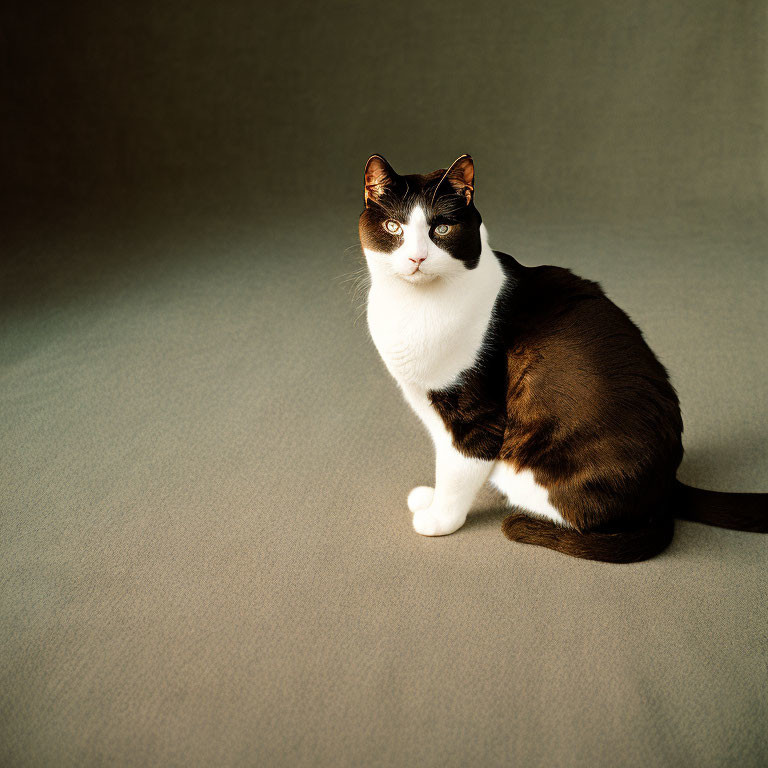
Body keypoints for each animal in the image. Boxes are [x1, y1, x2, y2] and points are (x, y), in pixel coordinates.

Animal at [356, 154, 764, 564]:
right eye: (394, 227)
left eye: (441, 228)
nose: (417, 257)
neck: (414, 306)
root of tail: (668, 486)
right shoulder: (431, 406)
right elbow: (445, 460)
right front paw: (430, 497)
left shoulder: (476, 416)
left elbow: (458, 471)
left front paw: (440, 518)